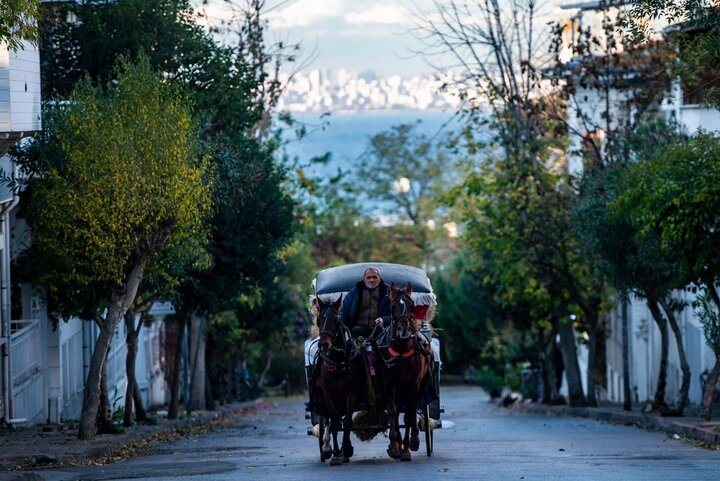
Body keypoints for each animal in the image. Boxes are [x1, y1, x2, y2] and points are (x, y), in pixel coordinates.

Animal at [312, 294, 366, 464]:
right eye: (318, 320)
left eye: (336, 320)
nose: (323, 344)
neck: (337, 362)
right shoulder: (328, 395)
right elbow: (335, 424)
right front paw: (336, 453)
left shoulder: (351, 394)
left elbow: (348, 423)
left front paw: (346, 449)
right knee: (327, 419)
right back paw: (326, 446)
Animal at [380, 282, 430, 462]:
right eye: (392, 305)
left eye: (412, 305)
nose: (404, 330)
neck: (401, 351)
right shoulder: (388, 384)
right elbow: (392, 411)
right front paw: (395, 446)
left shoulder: (413, 384)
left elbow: (409, 413)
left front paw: (407, 448)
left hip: (422, 384)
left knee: (414, 409)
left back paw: (413, 440)